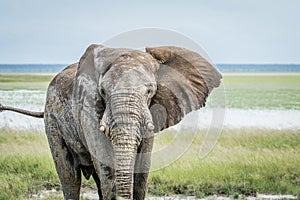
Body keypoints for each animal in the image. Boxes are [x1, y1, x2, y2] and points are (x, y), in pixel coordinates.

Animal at [0, 44, 220, 199]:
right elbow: (107, 169)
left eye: (150, 91)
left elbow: (141, 174)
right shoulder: (89, 110)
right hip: (52, 122)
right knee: (69, 176)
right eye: (103, 91)